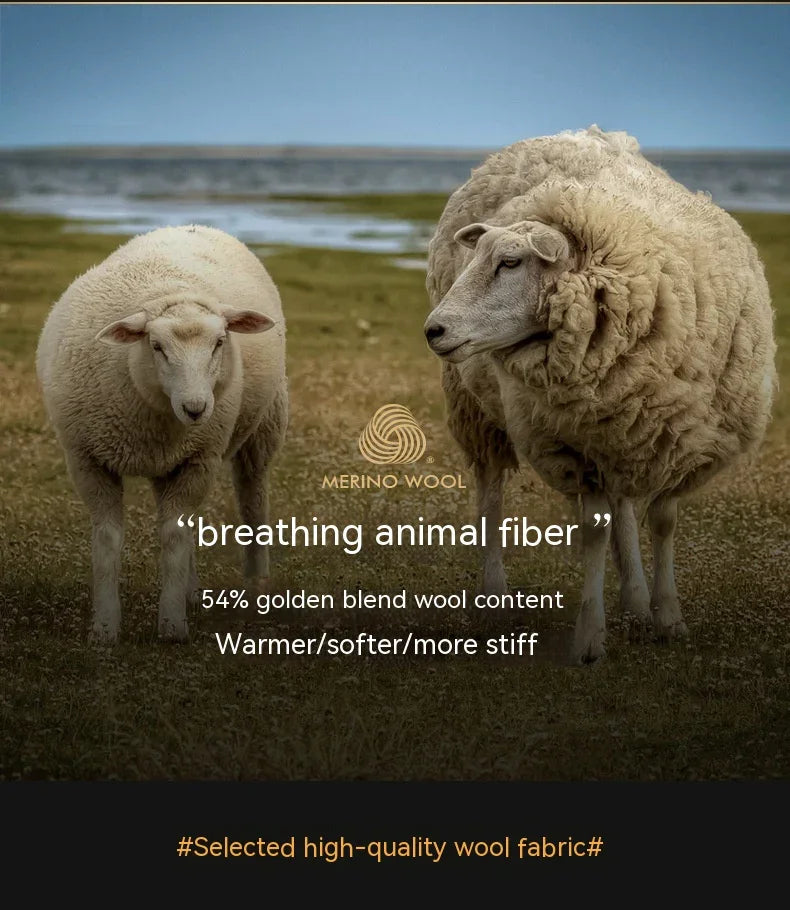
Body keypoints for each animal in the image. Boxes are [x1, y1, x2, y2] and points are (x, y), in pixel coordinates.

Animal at [36, 224, 288, 643]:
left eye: (220, 342)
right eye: (156, 346)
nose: (196, 408)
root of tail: (192, 225)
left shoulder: (199, 458)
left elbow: (173, 537)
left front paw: (171, 625)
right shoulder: (87, 459)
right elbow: (109, 540)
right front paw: (105, 627)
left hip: (264, 424)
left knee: (253, 498)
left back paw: (257, 584)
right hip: (169, 462)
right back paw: (192, 590)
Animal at [424, 126, 777, 664]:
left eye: (510, 262)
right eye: (478, 260)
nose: (434, 330)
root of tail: (559, 135)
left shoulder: (679, 438)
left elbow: (663, 520)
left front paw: (667, 616)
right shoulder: (573, 445)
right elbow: (593, 528)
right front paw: (590, 637)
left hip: (623, 428)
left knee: (624, 505)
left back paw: (635, 598)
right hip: (475, 408)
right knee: (491, 497)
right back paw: (495, 594)